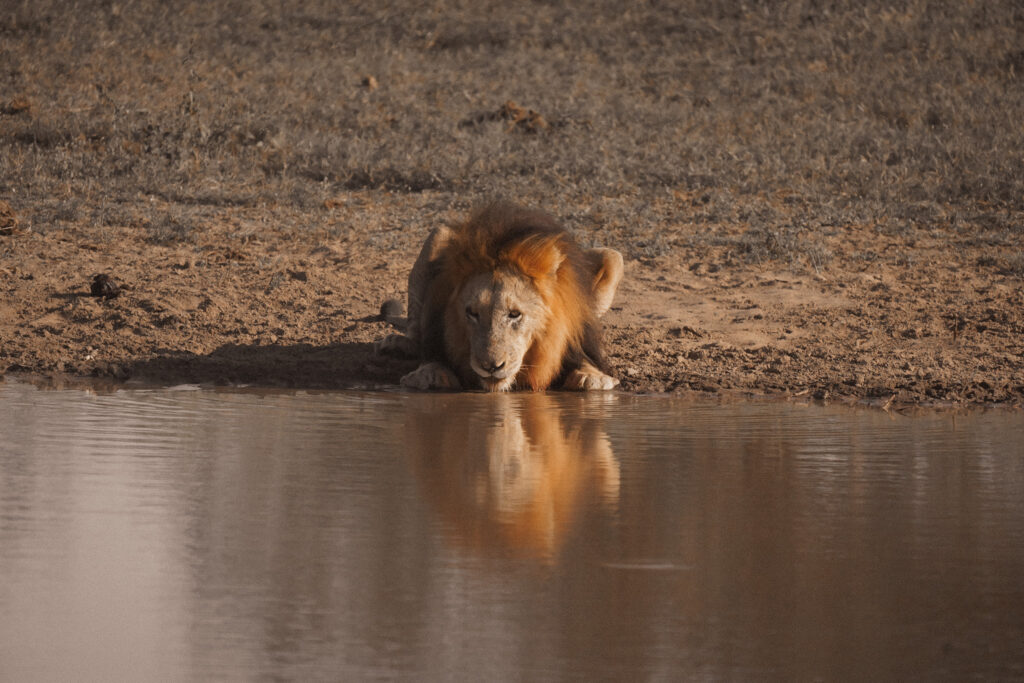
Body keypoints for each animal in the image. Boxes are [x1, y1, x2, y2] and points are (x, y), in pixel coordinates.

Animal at [378, 201, 622, 389]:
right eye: (472, 313)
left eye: (515, 314)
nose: (491, 367)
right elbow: (432, 358)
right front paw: (430, 374)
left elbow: (587, 361)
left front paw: (592, 378)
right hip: (438, 233)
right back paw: (399, 343)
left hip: (611, 256)